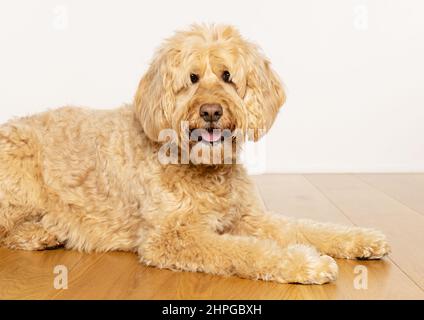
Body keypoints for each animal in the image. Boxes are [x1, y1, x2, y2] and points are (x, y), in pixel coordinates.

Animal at [0, 25, 390, 284]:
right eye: (191, 78)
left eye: (228, 76)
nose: (211, 111)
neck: (203, 171)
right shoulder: (171, 238)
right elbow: (246, 252)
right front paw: (306, 264)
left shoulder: (246, 217)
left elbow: (305, 227)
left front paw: (360, 239)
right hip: (21, 174)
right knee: (6, 230)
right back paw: (41, 233)